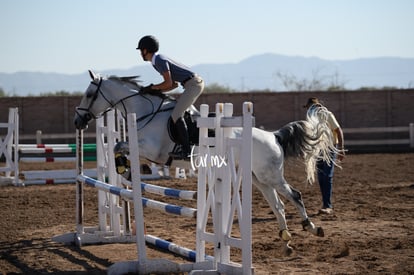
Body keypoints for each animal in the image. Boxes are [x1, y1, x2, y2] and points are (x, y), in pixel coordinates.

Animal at [74, 70, 338, 256]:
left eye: (88, 94)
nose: (78, 121)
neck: (144, 112)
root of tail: (273, 136)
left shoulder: (152, 150)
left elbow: (120, 146)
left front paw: (125, 169)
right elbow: (118, 147)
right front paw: (125, 170)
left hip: (270, 175)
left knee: (295, 195)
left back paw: (312, 227)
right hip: (259, 178)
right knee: (279, 206)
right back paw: (286, 241)